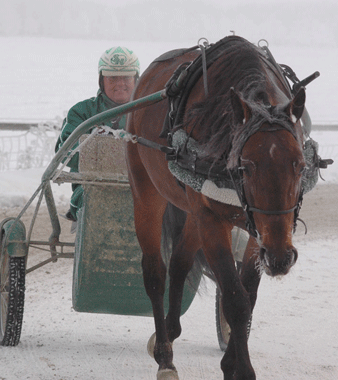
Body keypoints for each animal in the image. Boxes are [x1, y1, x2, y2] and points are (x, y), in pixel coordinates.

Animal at [125, 35, 304, 380]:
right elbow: (235, 299)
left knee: (180, 261)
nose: (279, 258)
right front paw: (242, 369)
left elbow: (249, 294)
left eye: (301, 166)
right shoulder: (212, 220)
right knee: (155, 273)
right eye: (247, 166)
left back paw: (170, 330)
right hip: (146, 191)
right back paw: (165, 355)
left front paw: (230, 361)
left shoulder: (260, 230)